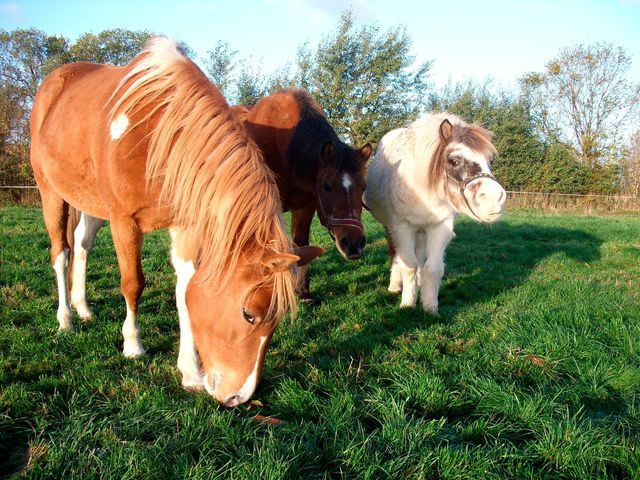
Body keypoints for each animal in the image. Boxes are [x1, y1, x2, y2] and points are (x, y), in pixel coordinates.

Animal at [30, 37, 322, 406]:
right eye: (249, 314)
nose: (236, 398)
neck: (157, 133)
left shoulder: (184, 225)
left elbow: (185, 291)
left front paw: (190, 372)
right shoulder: (124, 221)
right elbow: (133, 283)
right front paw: (133, 344)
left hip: (92, 203)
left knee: (82, 244)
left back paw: (82, 307)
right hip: (51, 193)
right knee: (61, 253)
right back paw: (66, 318)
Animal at [234, 89, 376, 300]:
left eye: (363, 187)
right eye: (326, 186)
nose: (354, 244)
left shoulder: (305, 207)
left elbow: (301, 244)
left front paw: (303, 292)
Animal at [364, 114, 504, 314]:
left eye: (490, 160)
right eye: (454, 160)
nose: (493, 198)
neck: (421, 188)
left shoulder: (440, 226)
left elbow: (433, 268)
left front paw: (430, 307)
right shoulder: (402, 227)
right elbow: (408, 265)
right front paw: (407, 303)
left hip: (422, 230)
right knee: (396, 255)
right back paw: (395, 286)